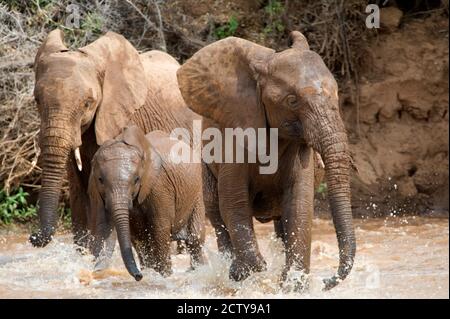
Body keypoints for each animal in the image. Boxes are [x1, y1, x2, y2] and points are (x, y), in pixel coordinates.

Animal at [87, 126, 206, 282]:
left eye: (136, 179)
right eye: (100, 180)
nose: (139, 276)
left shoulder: (160, 186)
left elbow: (159, 228)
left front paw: (165, 276)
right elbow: (134, 235)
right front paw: (151, 272)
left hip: (197, 191)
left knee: (195, 238)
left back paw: (199, 270)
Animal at [178, 31, 356, 292]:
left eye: (336, 94)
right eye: (292, 101)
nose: (327, 282)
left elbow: (300, 203)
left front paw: (293, 286)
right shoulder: (236, 135)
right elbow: (233, 200)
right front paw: (247, 271)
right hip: (205, 164)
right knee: (217, 214)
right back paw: (230, 273)